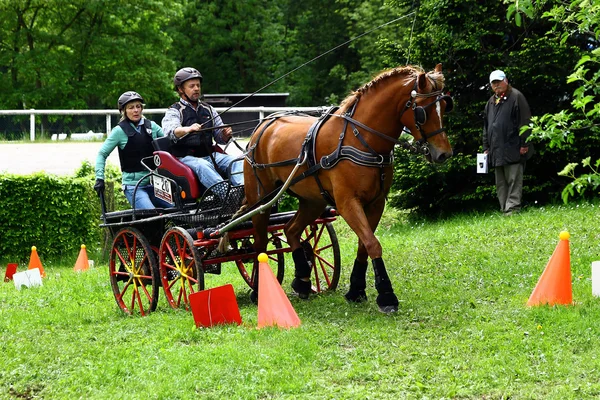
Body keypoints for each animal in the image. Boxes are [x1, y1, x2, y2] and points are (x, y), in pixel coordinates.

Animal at [241, 63, 452, 312]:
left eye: (445, 106)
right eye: (422, 111)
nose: (444, 153)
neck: (360, 139)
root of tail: (263, 125)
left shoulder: (375, 203)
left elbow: (364, 245)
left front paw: (356, 289)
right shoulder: (348, 203)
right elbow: (372, 243)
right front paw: (386, 296)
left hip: (313, 201)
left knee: (291, 230)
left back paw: (302, 280)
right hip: (261, 200)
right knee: (260, 243)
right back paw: (259, 289)